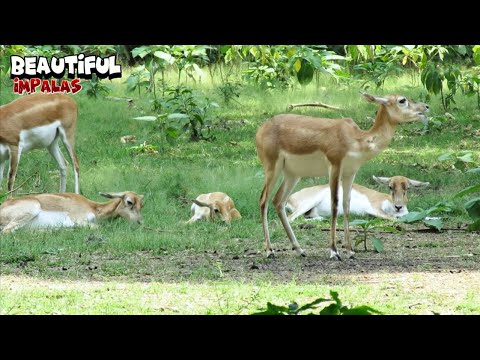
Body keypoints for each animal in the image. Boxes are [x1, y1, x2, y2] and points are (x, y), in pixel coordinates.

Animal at [0, 191, 144, 233]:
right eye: (129, 202)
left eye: (141, 205)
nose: (139, 222)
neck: (93, 208)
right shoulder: (79, 220)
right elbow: (98, 227)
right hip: (32, 208)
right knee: (7, 231)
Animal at [286, 175, 430, 222]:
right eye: (390, 187)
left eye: (407, 188)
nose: (398, 206)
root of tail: (290, 198)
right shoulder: (373, 209)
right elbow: (395, 219)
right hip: (310, 202)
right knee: (290, 218)